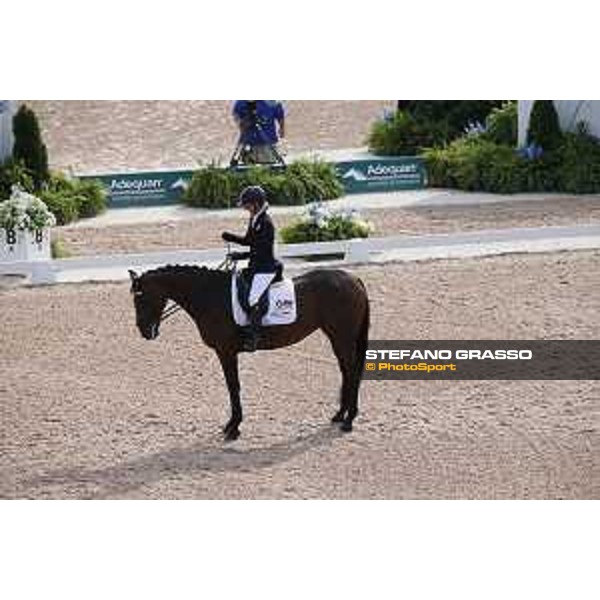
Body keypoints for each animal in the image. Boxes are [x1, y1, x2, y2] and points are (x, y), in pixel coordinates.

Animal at [129, 263, 370, 441]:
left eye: (141, 297)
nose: (144, 331)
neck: (211, 296)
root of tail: (353, 279)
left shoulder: (226, 351)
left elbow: (233, 386)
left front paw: (233, 428)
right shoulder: (226, 352)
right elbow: (232, 387)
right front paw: (231, 425)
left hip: (342, 336)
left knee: (352, 372)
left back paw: (349, 421)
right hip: (337, 337)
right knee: (346, 372)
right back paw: (339, 415)